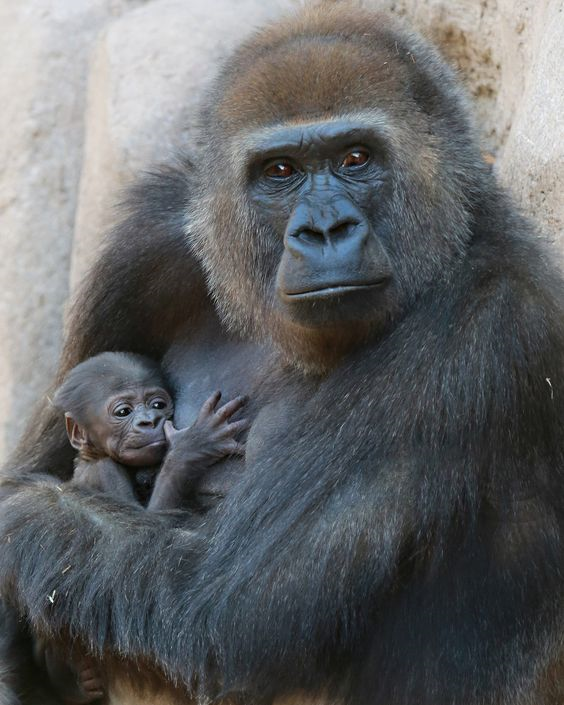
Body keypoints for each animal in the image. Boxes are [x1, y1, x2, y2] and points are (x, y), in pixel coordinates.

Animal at [2, 3, 564, 705]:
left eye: (356, 157)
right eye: (280, 172)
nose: (324, 230)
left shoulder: (486, 316)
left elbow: (222, 607)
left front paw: (14, 518)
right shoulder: (146, 243)